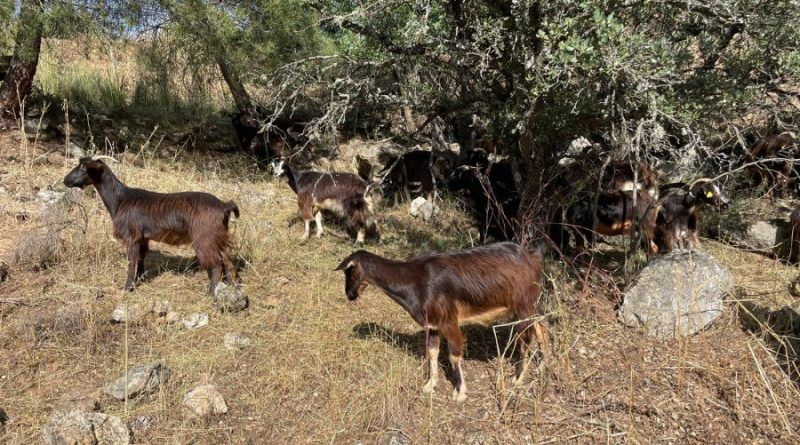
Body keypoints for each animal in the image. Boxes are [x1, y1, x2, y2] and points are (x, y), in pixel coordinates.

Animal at [63, 157, 239, 294]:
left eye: (83, 168)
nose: (65, 180)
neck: (120, 200)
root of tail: (224, 205)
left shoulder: (132, 236)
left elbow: (132, 261)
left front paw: (127, 287)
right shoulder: (143, 237)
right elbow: (141, 258)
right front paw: (139, 279)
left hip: (205, 238)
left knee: (216, 264)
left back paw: (212, 292)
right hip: (218, 236)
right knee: (227, 260)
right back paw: (230, 286)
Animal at [334, 242, 549, 402]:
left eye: (349, 272)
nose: (350, 294)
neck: (414, 280)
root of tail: (533, 260)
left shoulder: (449, 320)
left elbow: (454, 355)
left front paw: (460, 392)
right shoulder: (433, 324)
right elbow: (432, 352)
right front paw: (430, 385)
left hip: (523, 305)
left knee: (525, 338)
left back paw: (518, 378)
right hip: (526, 307)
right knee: (541, 327)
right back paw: (541, 366)